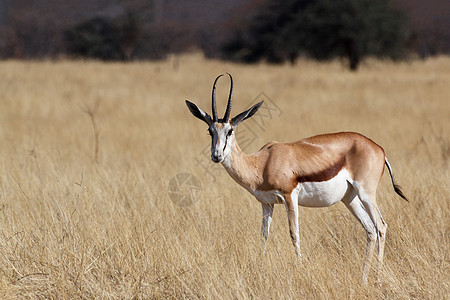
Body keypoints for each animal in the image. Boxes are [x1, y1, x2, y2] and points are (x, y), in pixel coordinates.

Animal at [185, 73, 408, 284]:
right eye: (210, 130)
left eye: (230, 131)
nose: (216, 155)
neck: (262, 163)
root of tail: (378, 148)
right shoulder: (267, 203)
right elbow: (264, 235)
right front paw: (260, 269)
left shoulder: (289, 196)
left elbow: (294, 233)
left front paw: (300, 269)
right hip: (350, 198)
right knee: (370, 229)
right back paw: (363, 278)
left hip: (366, 193)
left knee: (381, 226)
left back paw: (378, 278)